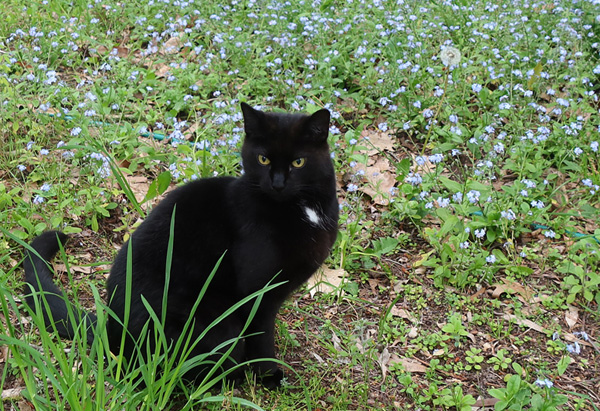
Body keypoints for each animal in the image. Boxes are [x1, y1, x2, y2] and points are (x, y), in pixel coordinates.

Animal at [22, 103, 338, 390]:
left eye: (298, 162)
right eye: (263, 159)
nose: (278, 183)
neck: (300, 210)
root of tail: (111, 327)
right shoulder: (257, 292)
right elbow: (262, 338)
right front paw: (270, 376)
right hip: (215, 325)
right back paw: (226, 380)